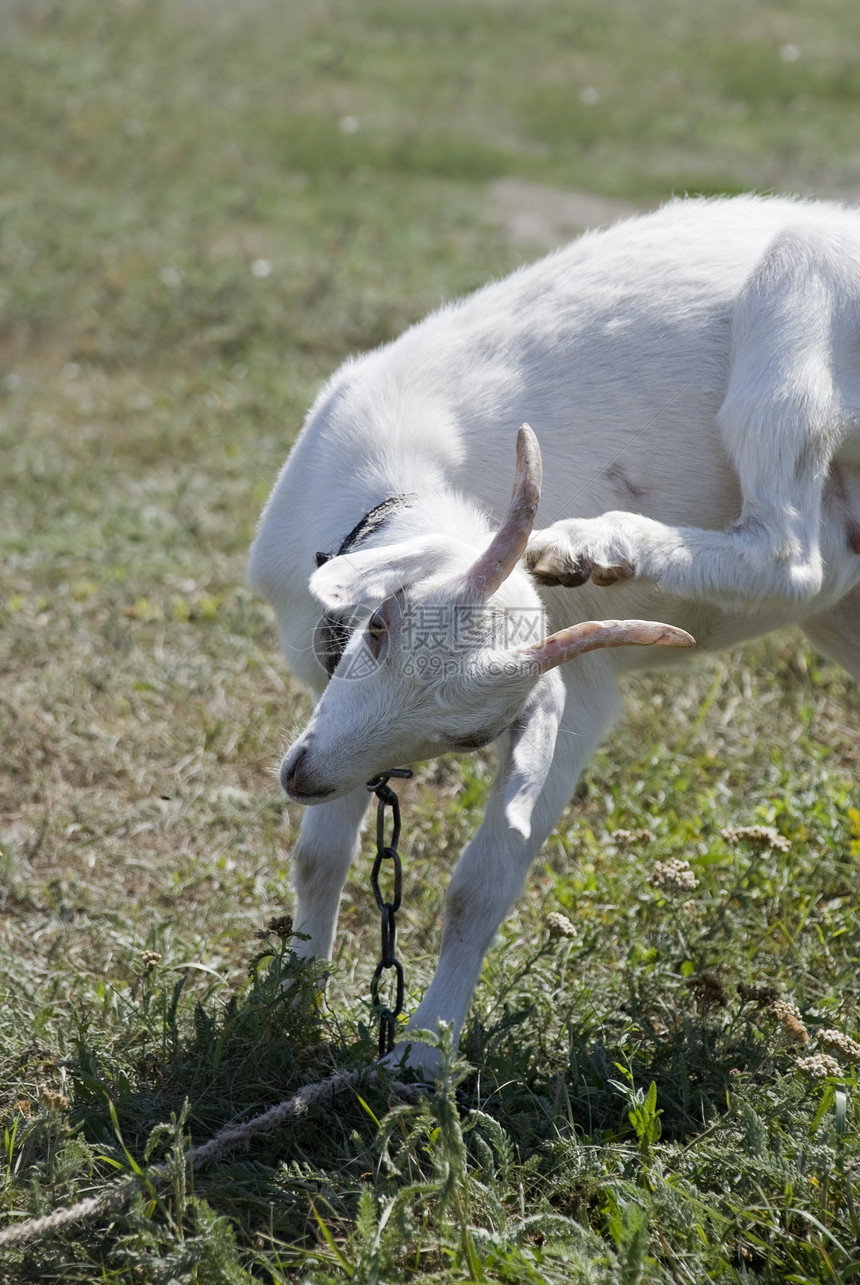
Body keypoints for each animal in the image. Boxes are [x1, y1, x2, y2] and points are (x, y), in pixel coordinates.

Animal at [248, 192, 858, 1074]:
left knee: (792, 548)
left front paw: (423, 1056)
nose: (299, 776)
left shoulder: (575, 694)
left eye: (471, 736)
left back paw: (593, 543)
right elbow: (319, 856)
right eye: (381, 625)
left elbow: (480, 886)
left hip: (799, 308)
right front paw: (290, 1000)